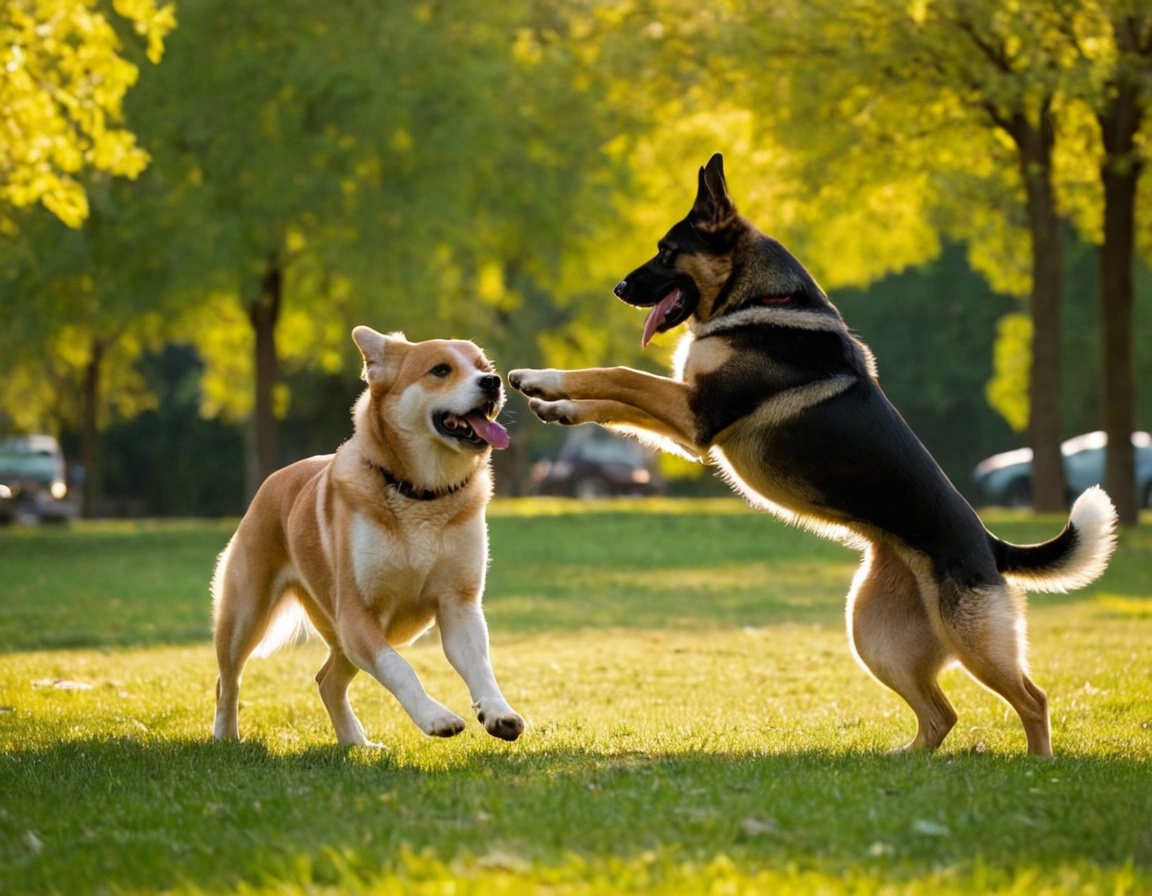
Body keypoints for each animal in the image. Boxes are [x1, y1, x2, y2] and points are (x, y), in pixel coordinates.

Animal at [213, 324, 527, 741]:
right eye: (440, 370)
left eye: (483, 367)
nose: (493, 382)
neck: (420, 493)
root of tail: (275, 478)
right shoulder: (357, 613)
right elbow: (400, 668)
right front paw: (436, 717)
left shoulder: (459, 603)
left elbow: (480, 665)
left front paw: (498, 712)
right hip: (246, 614)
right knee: (228, 680)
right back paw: (225, 736)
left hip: (339, 638)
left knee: (327, 681)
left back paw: (356, 743)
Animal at [506, 155, 1115, 755]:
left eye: (665, 250)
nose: (617, 287)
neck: (757, 301)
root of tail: (989, 544)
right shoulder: (689, 426)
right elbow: (613, 401)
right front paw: (555, 405)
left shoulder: (697, 413)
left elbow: (616, 374)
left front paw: (541, 377)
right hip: (873, 635)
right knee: (942, 714)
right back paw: (900, 760)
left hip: (972, 643)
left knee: (1033, 700)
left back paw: (1038, 764)